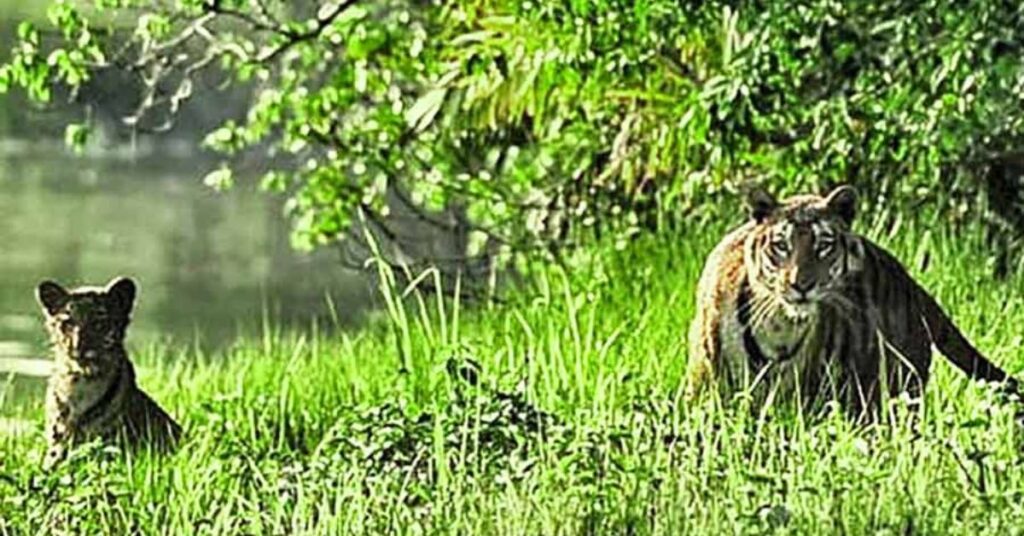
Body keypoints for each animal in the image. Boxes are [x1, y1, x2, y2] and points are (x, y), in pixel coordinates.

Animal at [684, 184, 1019, 420]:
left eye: (823, 245)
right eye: (781, 245)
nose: (801, 285)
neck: (778, 325)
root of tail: (910, 282)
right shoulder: (705, 390)